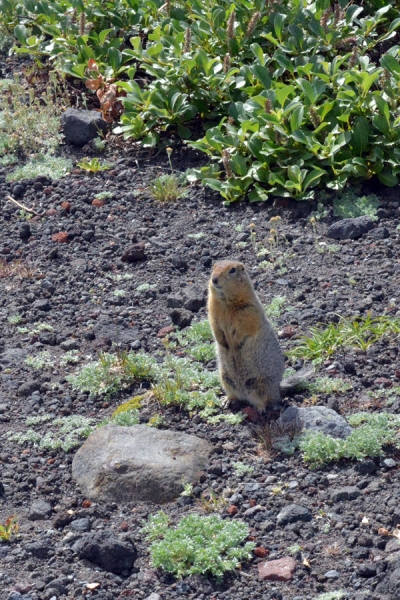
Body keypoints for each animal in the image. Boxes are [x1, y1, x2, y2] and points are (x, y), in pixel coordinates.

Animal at [206, 260, 312, 410]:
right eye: (213, 267)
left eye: (232, 270)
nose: (214, 279)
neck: (226, 302)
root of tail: (277, 389)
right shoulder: (212, 310)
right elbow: (214, 326)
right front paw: (223, 341)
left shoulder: (249, 310)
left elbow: (245, 327)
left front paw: (236, 343)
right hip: (225, 378)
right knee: (235, 394)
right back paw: (228, 400)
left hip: (261, 384)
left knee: (265, 400)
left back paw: (260, 408)